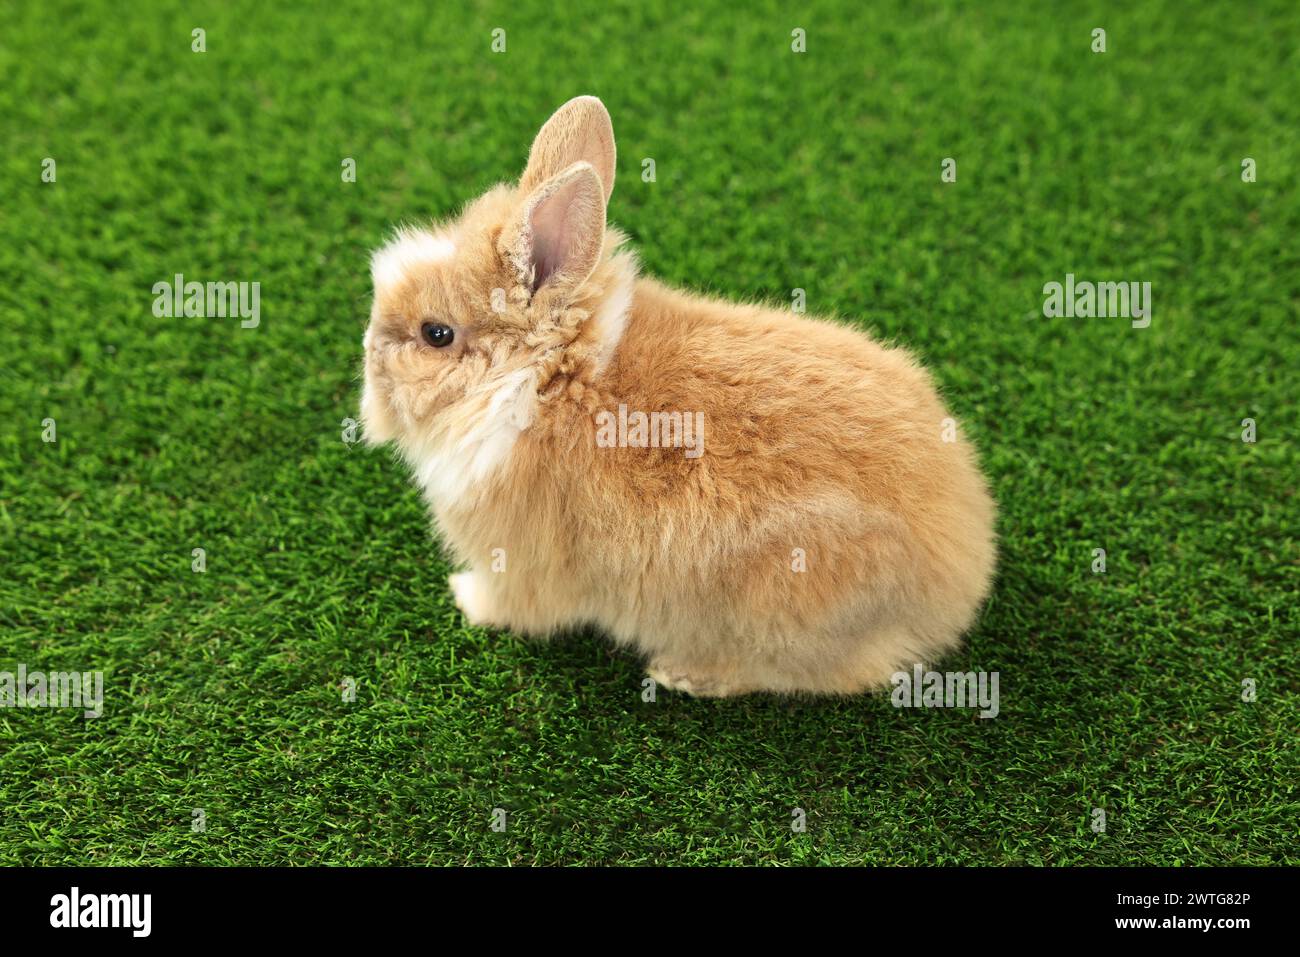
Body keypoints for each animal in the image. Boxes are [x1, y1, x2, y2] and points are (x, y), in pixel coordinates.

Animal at [358, 95, 993, 696]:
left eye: (435, 335)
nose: (370, 364)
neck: (541, 381)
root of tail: (961, 580)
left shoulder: (516, 567)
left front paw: (462, 596)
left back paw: (684, 674)